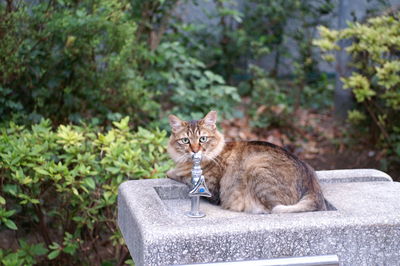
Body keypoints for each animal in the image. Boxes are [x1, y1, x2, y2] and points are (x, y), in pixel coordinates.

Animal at [167, 110, 326, 214]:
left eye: (203, 139)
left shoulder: (210, 189)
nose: (195, 151)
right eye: (185, 140)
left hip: (256, 167)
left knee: (270, 209)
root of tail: (313, 186)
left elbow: (179, 175)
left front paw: (172, 172)